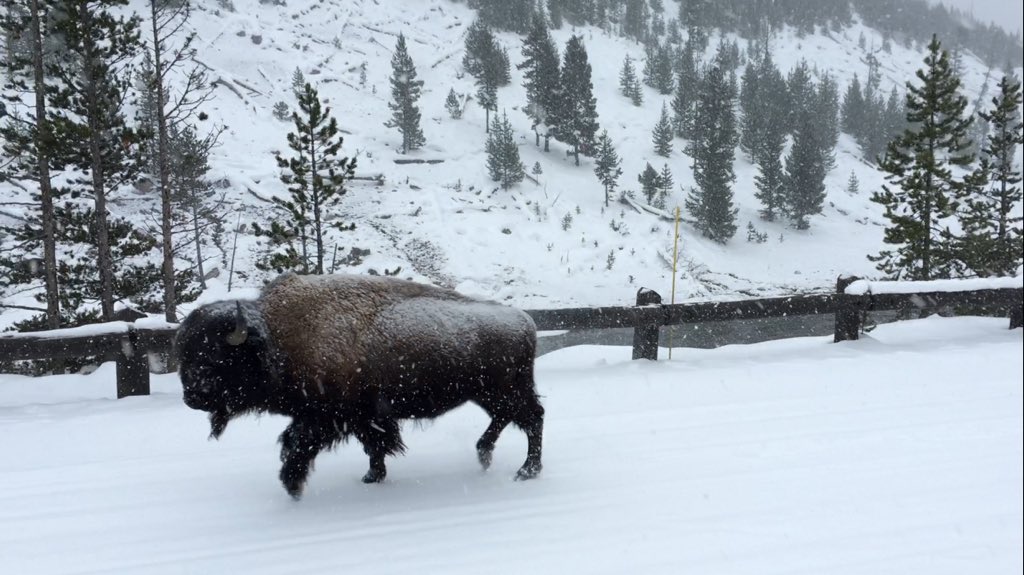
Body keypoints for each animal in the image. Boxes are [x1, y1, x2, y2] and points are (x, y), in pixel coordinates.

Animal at [176, 273, 544, 499]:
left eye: (214, 357)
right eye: (183, 353)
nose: (192, 397)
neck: (276, 338)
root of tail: (526, 321)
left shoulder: (329, 416)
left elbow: (301, 444)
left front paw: (292, 484)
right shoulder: (358, 418)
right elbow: (372, 445)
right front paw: (372, 476)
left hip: (501, 390)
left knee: (531, 418)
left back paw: (526, 471)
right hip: (487, 393)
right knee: (511, 418)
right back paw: (485, 454)